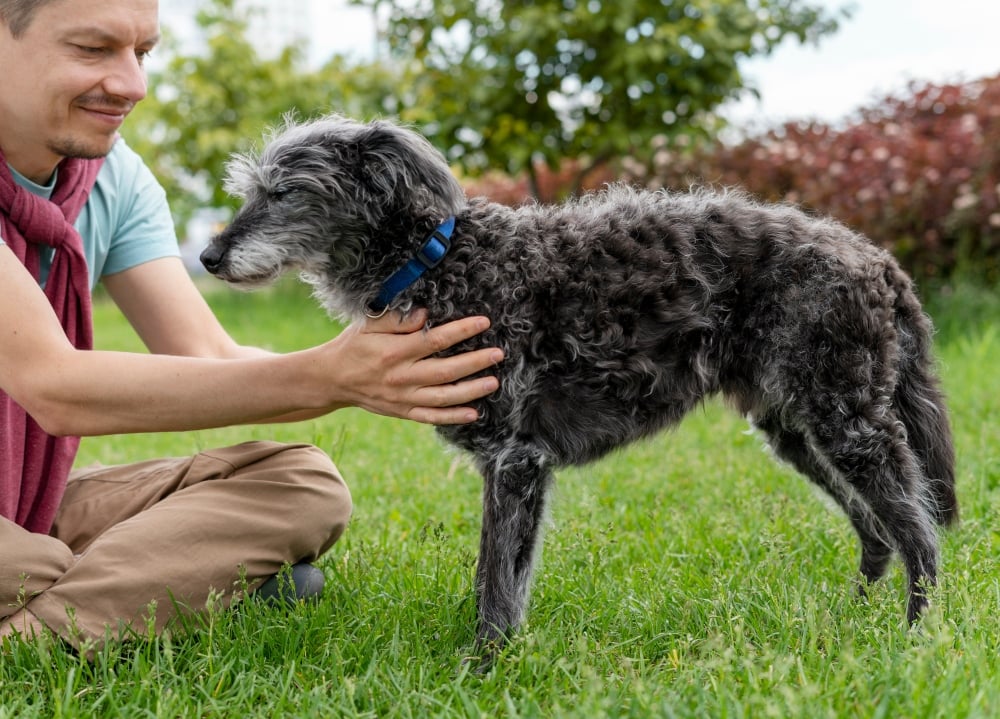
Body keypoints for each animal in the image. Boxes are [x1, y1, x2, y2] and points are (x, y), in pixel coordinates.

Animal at [199, 115, 956, 660]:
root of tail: (873, 257)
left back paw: (916, 634)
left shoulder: (514, 461)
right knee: (875, 528)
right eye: (253, 189)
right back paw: (851, 619)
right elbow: (503, 578)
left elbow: (496, 583)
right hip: (797, 430)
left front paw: (484, 667)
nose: (208, 256)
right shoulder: (516, 468)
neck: (440, 260)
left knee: (918, 531)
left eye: (284, 190)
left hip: (847, 422)